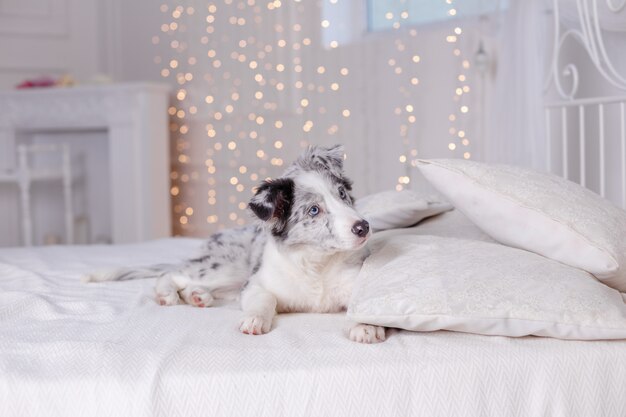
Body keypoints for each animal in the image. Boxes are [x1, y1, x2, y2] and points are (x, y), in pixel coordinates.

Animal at [83, 145, 386, 342]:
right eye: (314, 210)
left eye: (342, 194)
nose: (363, 227)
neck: (316, 264)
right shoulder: (255, 284)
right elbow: (265, 299)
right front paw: (255, 319)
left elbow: (364, 302)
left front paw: (366, 326)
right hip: (225, 268)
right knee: (169, 273)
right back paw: (169, 294)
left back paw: (198, 296)